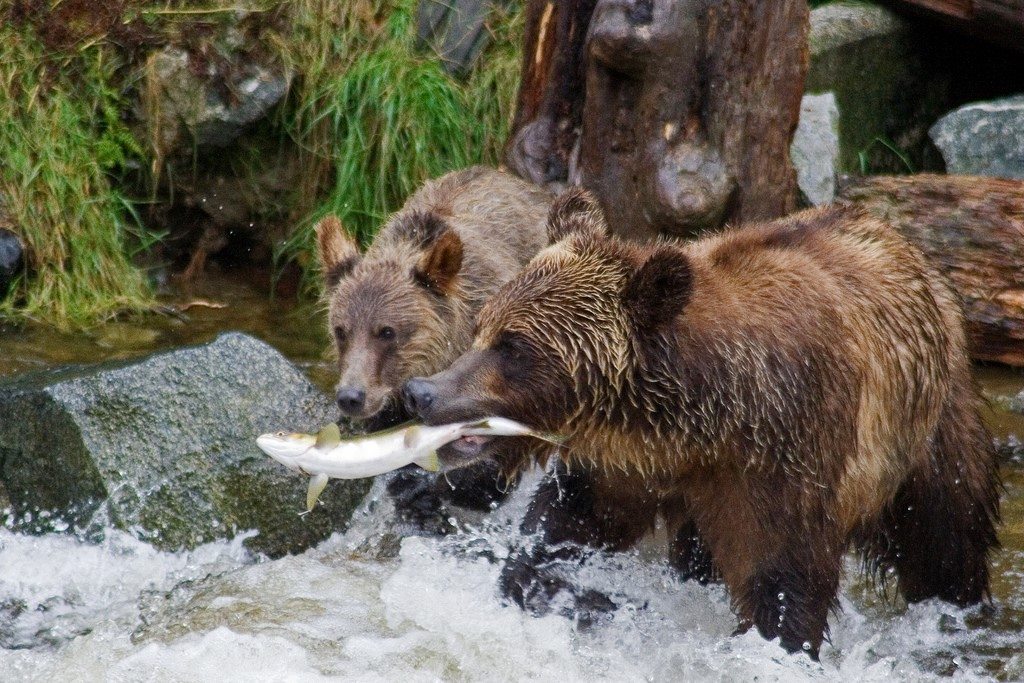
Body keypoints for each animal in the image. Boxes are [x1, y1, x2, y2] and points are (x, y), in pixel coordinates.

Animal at [403, 191, 1003, 655]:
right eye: (481, 327)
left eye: (514, 347)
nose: (423, 392)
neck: (700, 420)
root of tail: (902, 239)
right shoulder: (628, 464)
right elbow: (562, 528)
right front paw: (595, 597)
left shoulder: (782, 458)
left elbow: (784, 583)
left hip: (930, 422)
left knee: (946, 533)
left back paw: (960, 609)